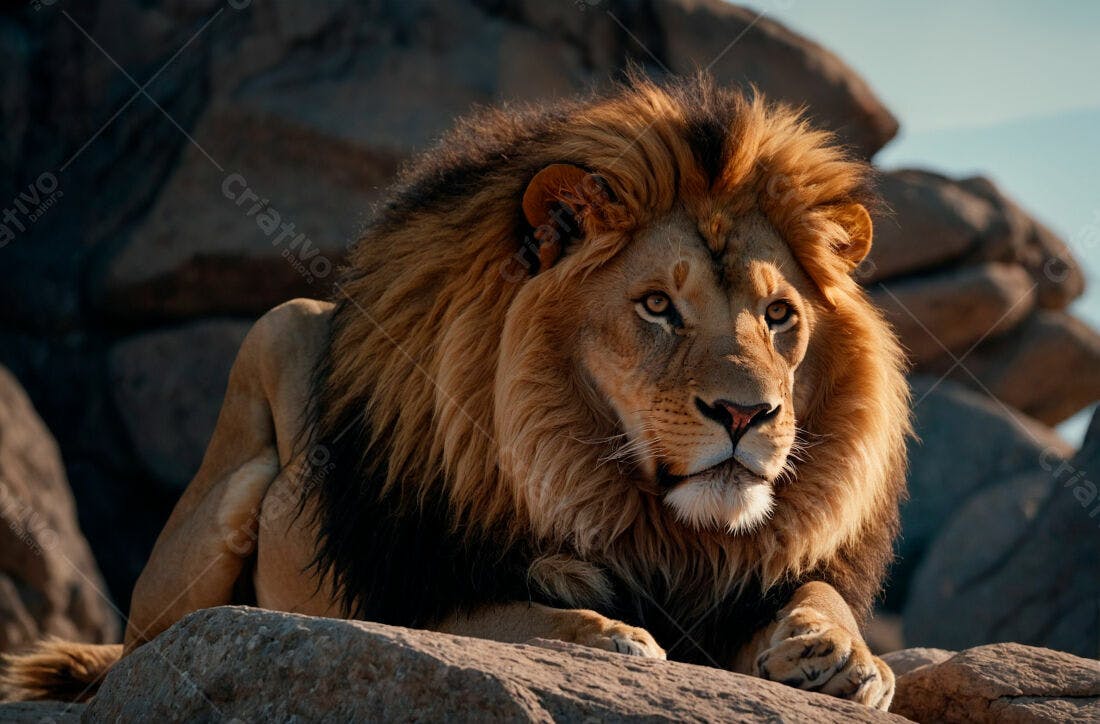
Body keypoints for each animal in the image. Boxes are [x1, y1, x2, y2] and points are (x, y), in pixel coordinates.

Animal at [2, 75, 909, 710]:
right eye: (657, 306)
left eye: (779, 316)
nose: (745, 414)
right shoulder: (413, 592)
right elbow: (523, 616)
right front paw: (611, 638)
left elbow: (821, 593)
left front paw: (841, 655)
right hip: (258, 383)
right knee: (152, 651)